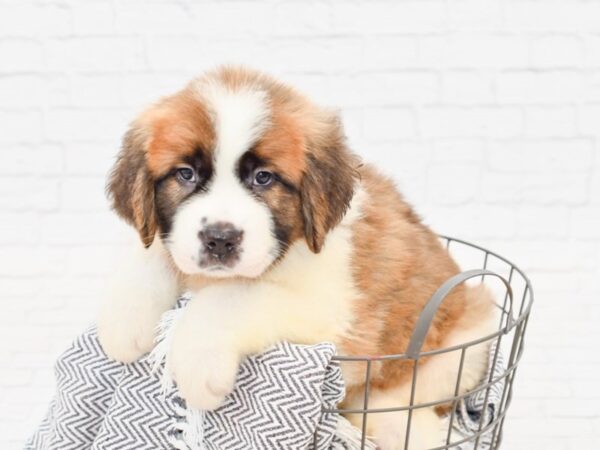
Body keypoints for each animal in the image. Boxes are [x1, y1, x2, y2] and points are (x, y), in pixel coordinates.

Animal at [98, 65, 494, 448]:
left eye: (264, 178)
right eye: (185, 174)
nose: (220, 240)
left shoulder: (333, 310)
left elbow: (233, 297)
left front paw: (197, 364)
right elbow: (152, 251)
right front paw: (124, 321)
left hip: (459, 347)